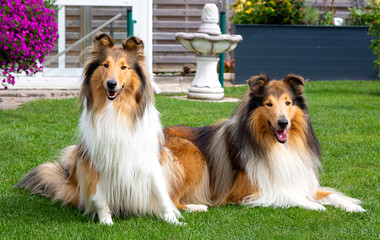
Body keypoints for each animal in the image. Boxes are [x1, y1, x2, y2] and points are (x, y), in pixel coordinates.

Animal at [15, 33, 181, 225]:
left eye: (124, 66)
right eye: (105, 65)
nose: (111, 84)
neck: (116, 109)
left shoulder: (149, 158)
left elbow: (162, 195)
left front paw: (173, 220)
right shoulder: (96, 161)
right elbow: (99, 197)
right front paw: (106, 221)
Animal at [165, 74, 366, 212]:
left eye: (288, 102)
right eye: (269, 104)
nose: (283, 123)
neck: (277, 146)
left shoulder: (299, 180)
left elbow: (330, 194)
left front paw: (353, 206)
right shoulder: (247, 190)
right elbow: (287, 193)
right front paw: (313, 205)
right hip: (193, 155)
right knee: (170, 199)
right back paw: (195, 207)